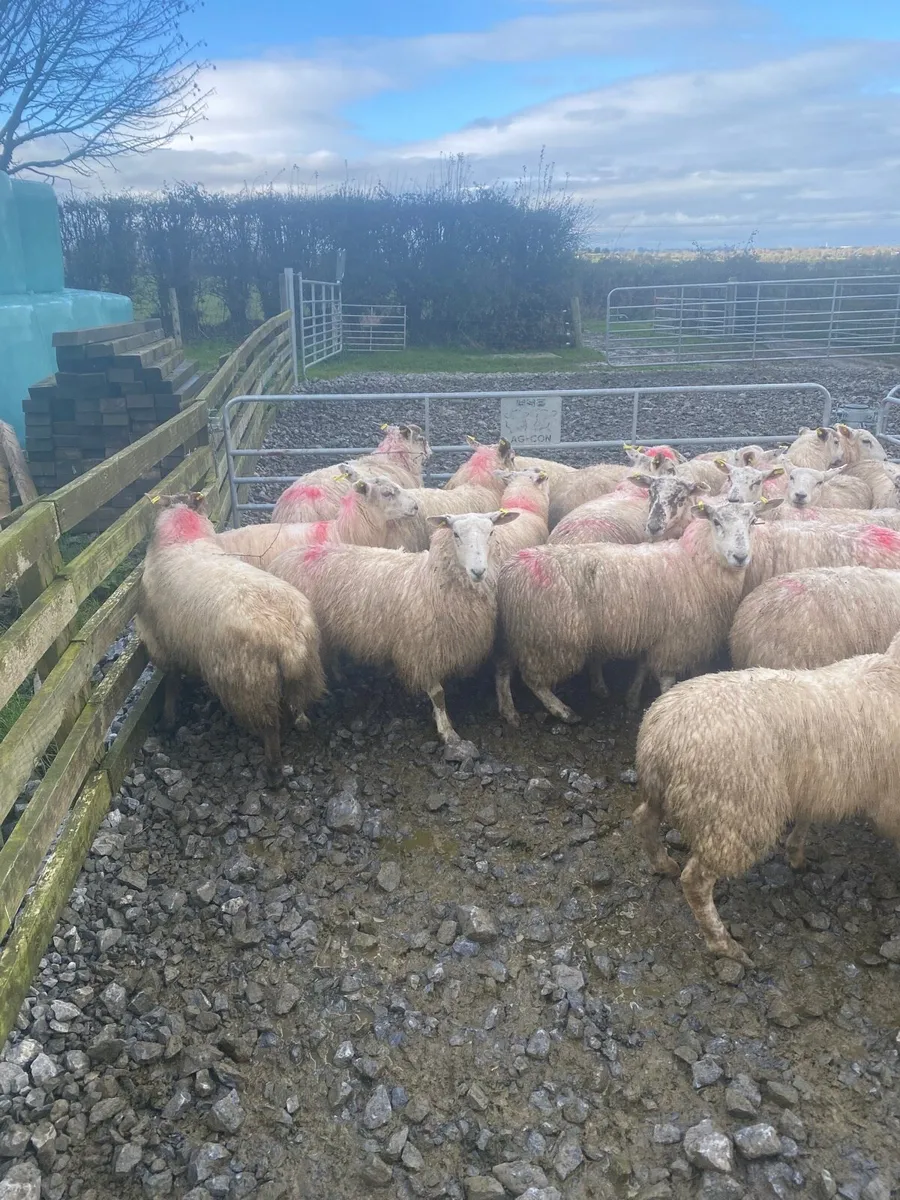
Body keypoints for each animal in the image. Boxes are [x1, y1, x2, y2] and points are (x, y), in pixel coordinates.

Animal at [136, 493, 326, 786]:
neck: (182, 538)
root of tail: (289, 637)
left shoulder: (163, 643)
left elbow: (171, 684)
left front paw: (167, 721)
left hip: (249, 683)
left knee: (270, 727)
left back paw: (273, 772)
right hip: (304, 671)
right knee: (293, 703)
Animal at [268, 510, 518, 757]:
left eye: (491, 532)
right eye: (455, 534)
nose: (478, 571)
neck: (431, 580)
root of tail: (282, 559)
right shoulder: (421, 650)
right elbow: (438, 694)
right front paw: (447, 732)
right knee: (299, 678)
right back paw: (301, 716)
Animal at [495, 497, 783, 724]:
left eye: (752, 521)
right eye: (716, 522)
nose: (740, 557)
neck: (696, 565)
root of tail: (510, 569)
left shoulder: (655, 633)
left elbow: (642, 666)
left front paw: (632, 699)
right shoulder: (675, 639)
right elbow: (666, 678)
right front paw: (662, 701)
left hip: (520, 633)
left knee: (503, 668)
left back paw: (509, 713)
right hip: (550, 640)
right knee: (534, 680)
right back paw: (563, 711)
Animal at [633, 632, 900, 964]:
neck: (891, 669)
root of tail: (661, 732)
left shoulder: (811, 783)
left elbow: (805, 819)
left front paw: (796, 854)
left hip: (663, 790)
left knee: (643, 820)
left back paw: (663, 864)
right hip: (732, 813)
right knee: (696, 882)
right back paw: (724, 945)